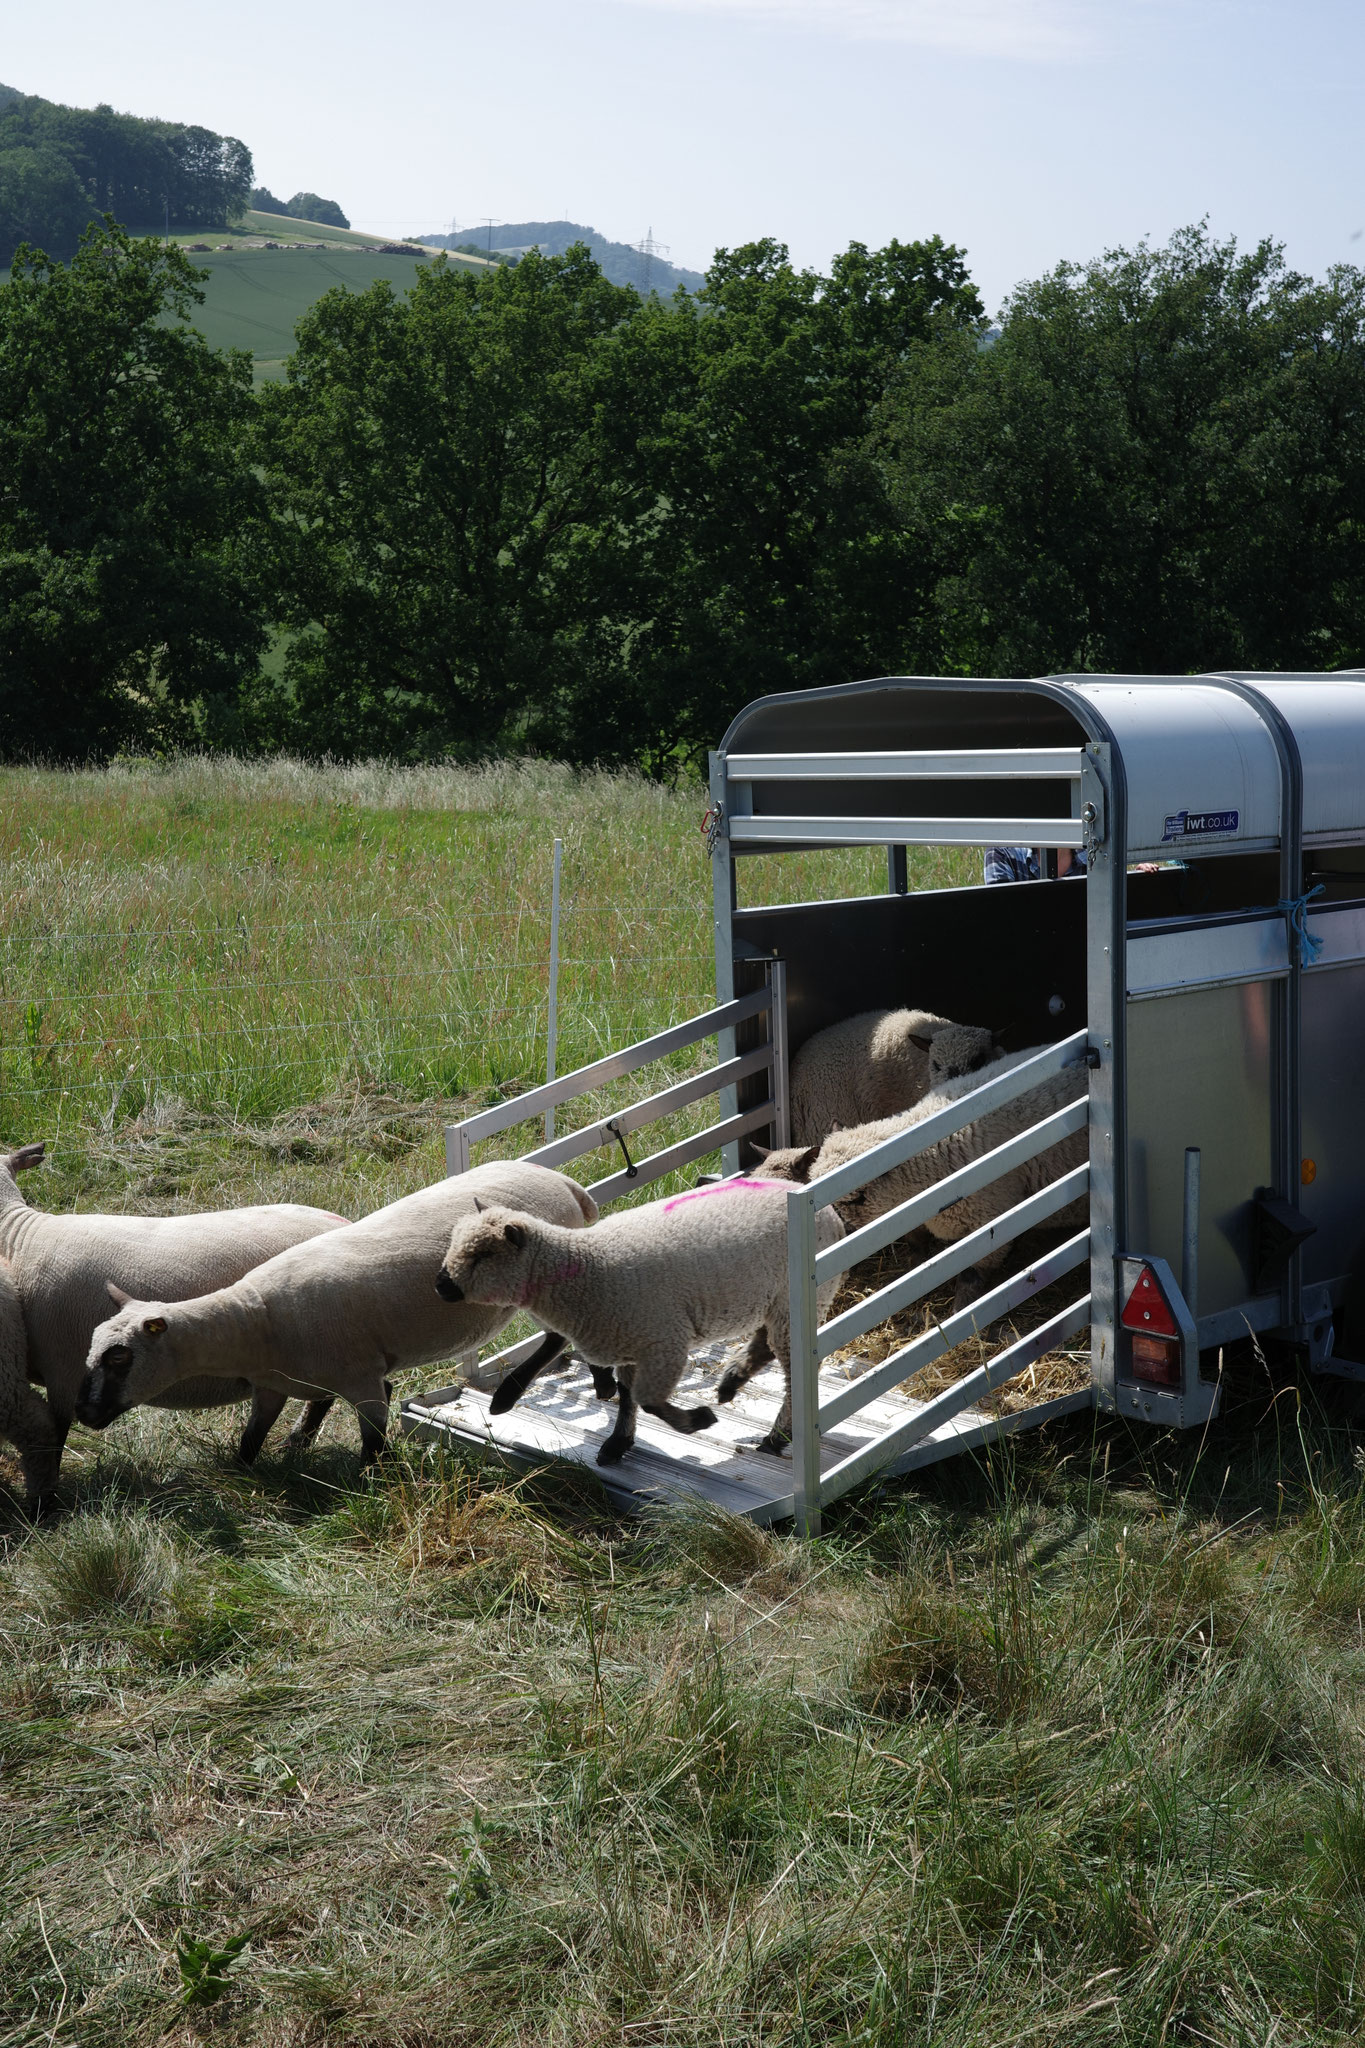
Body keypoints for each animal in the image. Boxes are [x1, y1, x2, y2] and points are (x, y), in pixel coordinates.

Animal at [0, 1142, 349, 1516]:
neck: (17, 1237)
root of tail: (345, 1221)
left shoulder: (62, 1368)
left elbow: (54, 1434)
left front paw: (46, 1499)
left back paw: (292, 1444)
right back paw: (295, 1444)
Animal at [74, 1163, 598, 1469]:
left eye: (119, 1358)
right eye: (92, 1350)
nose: (83, 1414)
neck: (254, 1322)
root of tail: (564, 1182)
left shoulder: (363, 1380)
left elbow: (373, 1448)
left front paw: (373, 1488)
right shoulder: (272, 1387)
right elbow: (250, 1440)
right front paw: (254, 1472)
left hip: (543, 1286)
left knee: (560, 1338)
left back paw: (507, 1397)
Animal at [437, 1176, 844, 1464]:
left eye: (483, 1255)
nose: (441, 1285)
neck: (584, 1268)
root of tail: (829, 1213)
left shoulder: (663, 1343)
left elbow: (647, 1401)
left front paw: (697, 1421)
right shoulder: (629, 1343)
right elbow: (629, 1397)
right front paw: (618, 1442)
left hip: (801, 1299)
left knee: (796, 1371)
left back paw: (776, 1437)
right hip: (774, 1301)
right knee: (767, 1346)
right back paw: (732, 1383)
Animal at [759, 1045, 1088, 1311]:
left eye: (858, 1197)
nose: (838, 1236)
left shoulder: (992, 1224)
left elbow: (970, 1279)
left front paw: (962, 1315)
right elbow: (917, 1252)